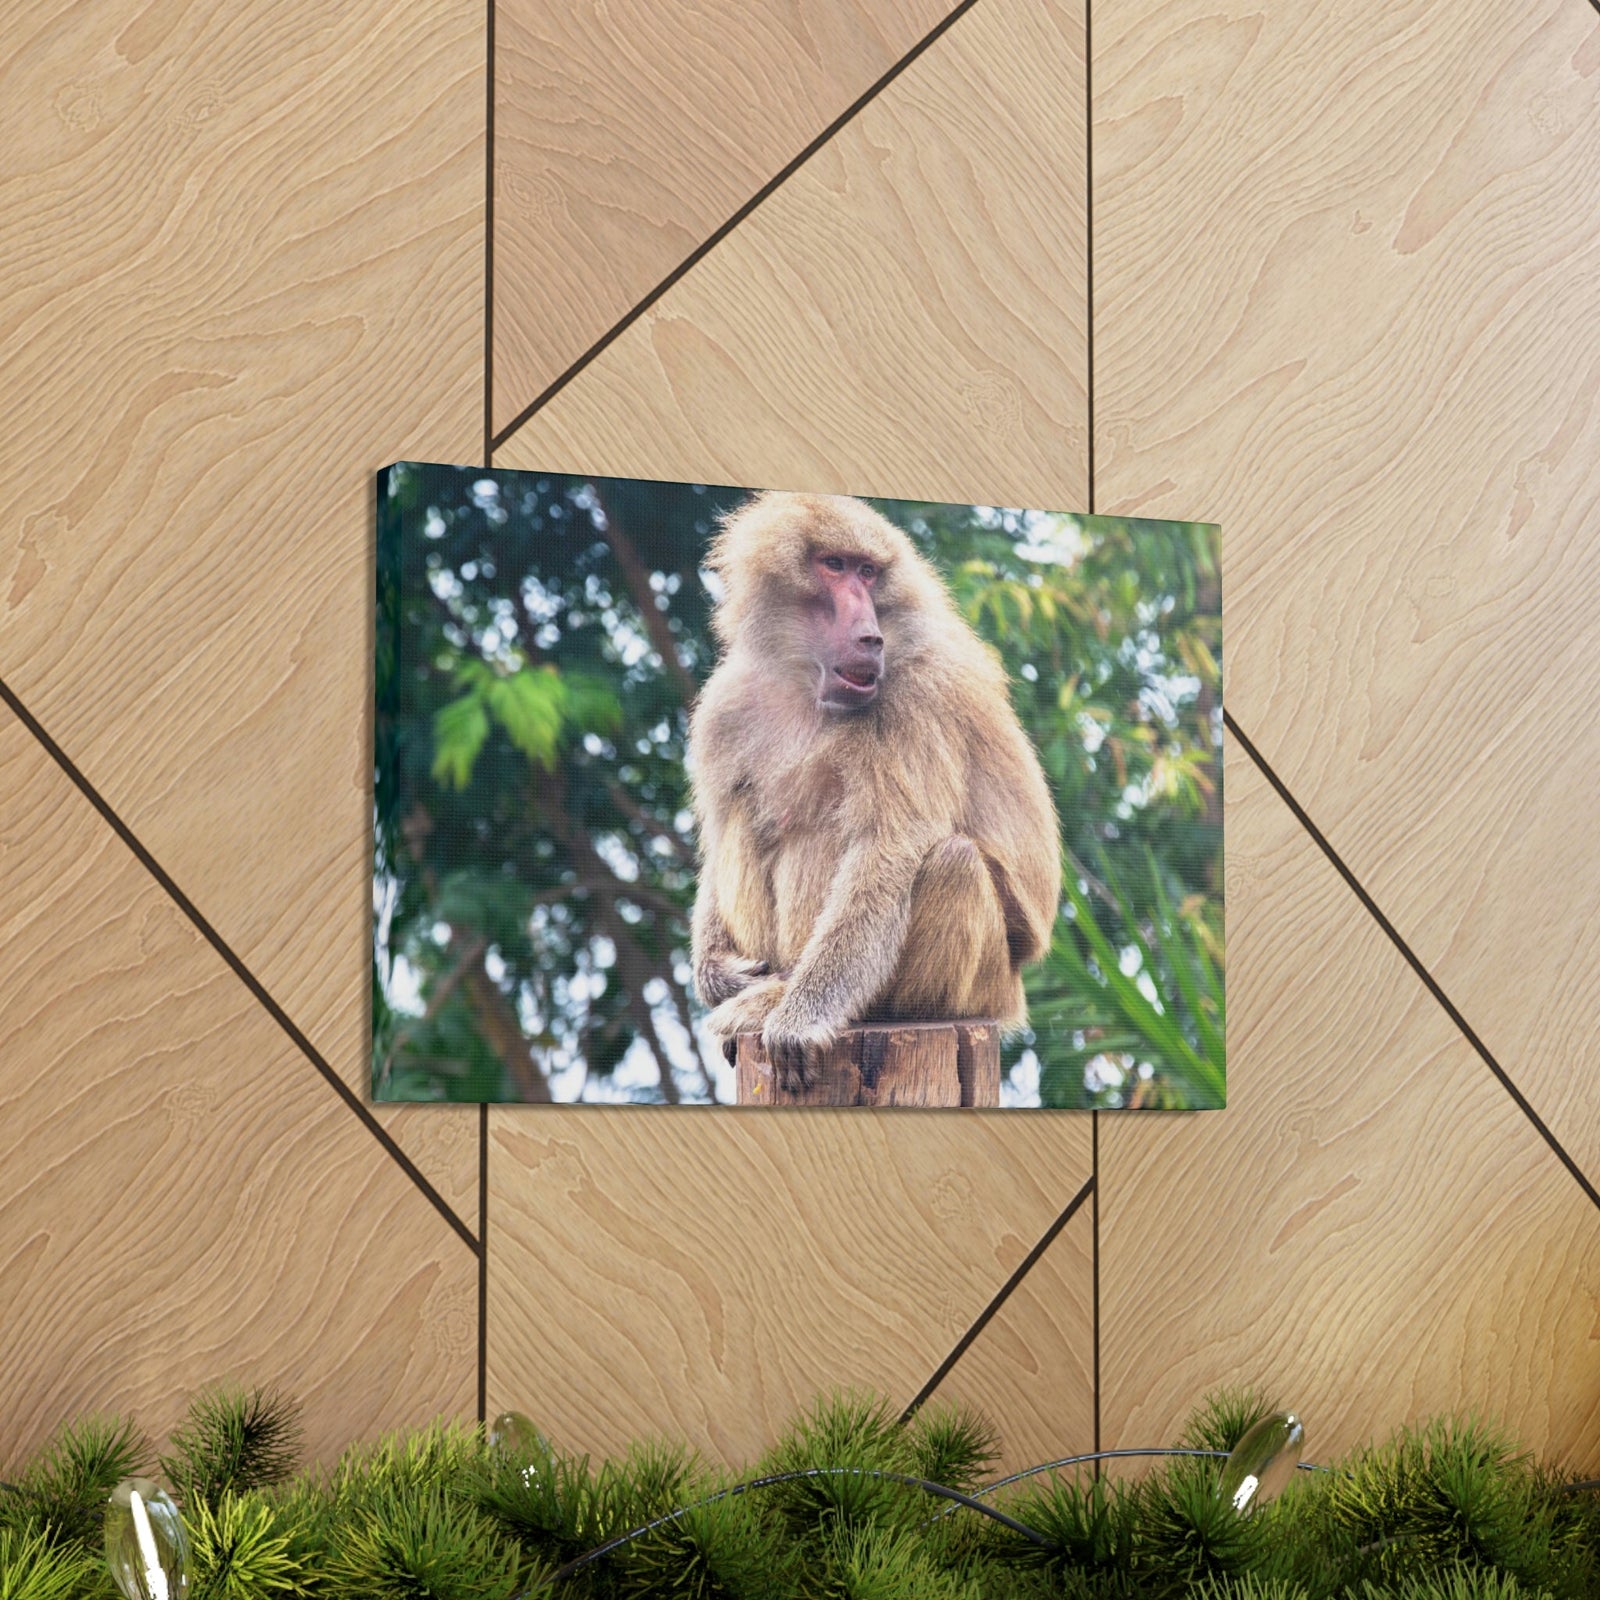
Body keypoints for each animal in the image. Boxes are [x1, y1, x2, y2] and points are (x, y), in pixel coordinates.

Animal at [687, 491, 1061, 1091]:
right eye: (834, 565)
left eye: (868, 572)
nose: (870, 636)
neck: (804, 682)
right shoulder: (725, 705)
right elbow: (718, 837)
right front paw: (718, 973)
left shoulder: (916, 698)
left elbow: (885, 850)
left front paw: (800, 1021)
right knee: (749, 815)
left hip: (984, 985)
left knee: (949, 861)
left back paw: (800, 1002)